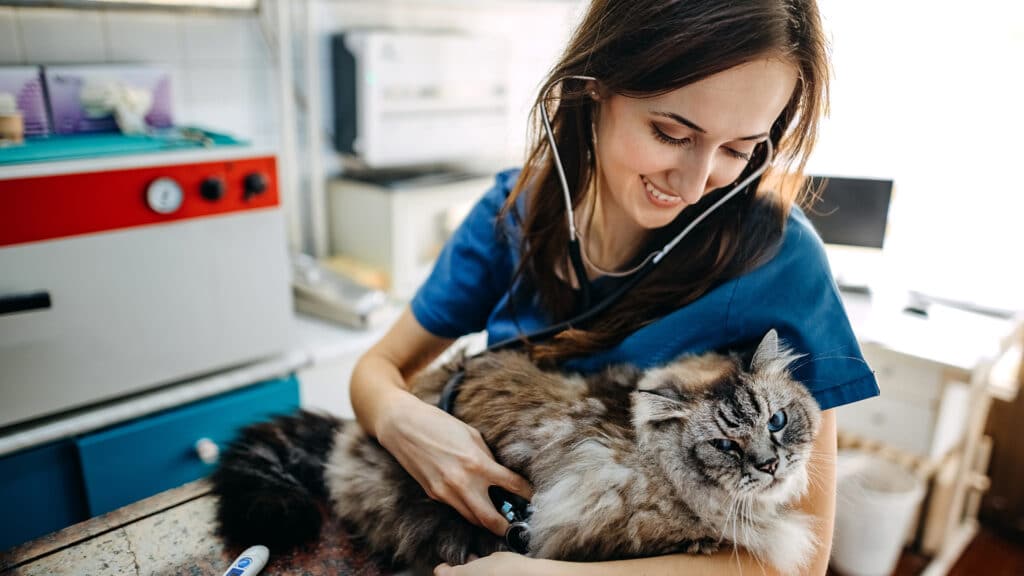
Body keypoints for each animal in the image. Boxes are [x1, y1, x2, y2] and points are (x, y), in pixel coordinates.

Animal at [211, 327, 819, 569]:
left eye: (778, 421)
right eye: (724, 444)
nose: (769, 465)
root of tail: (353, 433)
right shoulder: (584, 524)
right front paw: (701, 539)